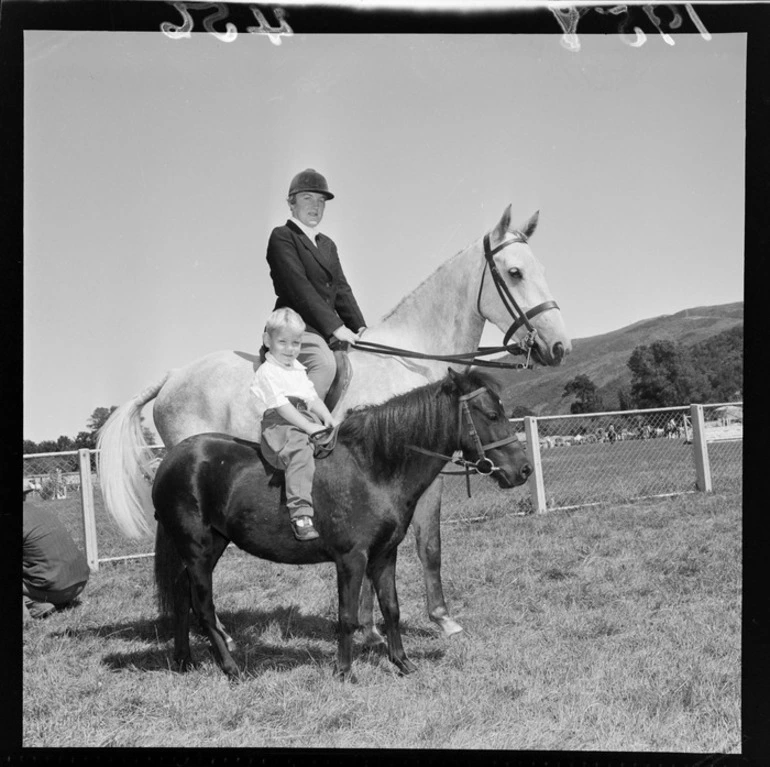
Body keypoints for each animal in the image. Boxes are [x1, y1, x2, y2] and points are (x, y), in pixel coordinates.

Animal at [99, 202, 568, 640]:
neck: (410, 361)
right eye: (514, 272)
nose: (558, 346)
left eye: (543, 269)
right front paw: (420, 621)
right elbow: (428, 544)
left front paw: (381, 622)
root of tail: (174, 375)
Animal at [153, 368, 532, 680]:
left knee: (182, 599)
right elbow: (347, 615)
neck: (373, 468)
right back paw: (231, 668)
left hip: (210, 546)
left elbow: (391, 609)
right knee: (202, 608)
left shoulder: (384, 555)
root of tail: (171, 460)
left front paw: (403, 663)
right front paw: (344, 671)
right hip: (198, 549)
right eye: (491, 414)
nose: (524, 469)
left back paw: (185, 661)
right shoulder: (351, 559)